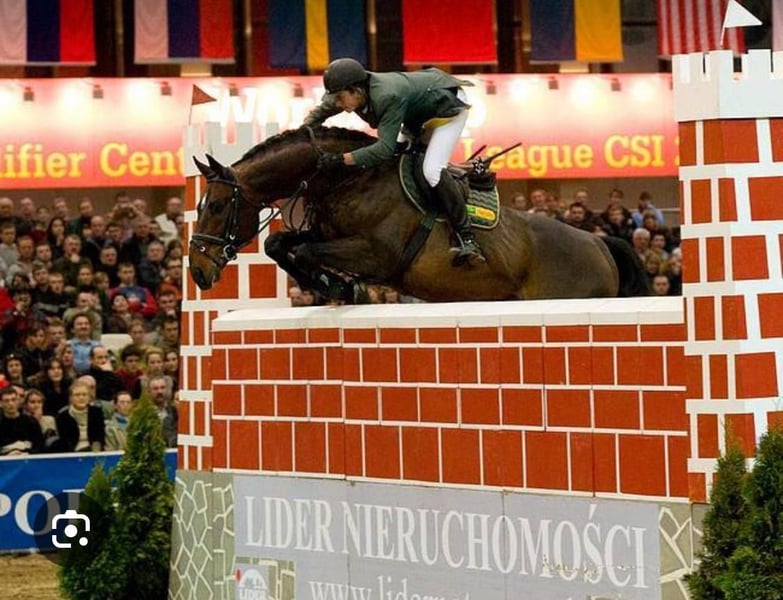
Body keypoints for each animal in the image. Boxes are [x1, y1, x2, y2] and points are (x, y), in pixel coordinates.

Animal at [189, 126, 648, 302]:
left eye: (216, 206)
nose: (197, 270)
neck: (345, 177)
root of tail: (599, 243)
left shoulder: (376, 255)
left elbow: (302, 251)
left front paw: (338, 287)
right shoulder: (325, 236)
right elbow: (279, 243)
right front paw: (327, 285)